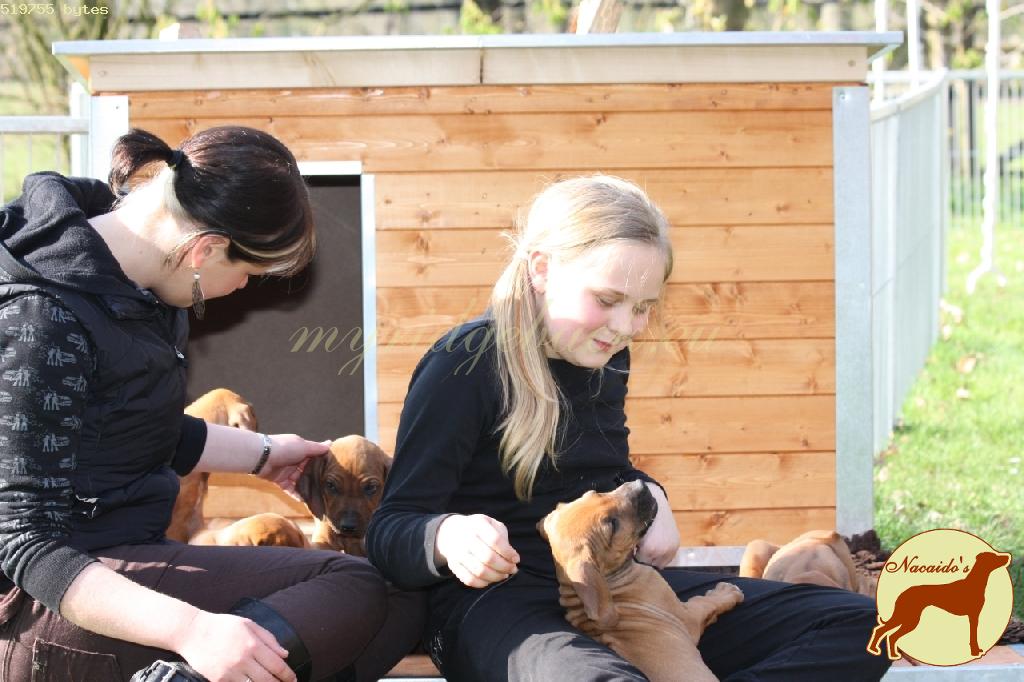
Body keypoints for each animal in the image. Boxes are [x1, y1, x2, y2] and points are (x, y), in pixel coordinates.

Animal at [539, 481, 744, 682]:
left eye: (593, 493)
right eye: (613, 524)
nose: (641, 485)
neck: (611, 580)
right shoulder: (686, 618)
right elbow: (703, 602)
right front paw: (726, 592)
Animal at [867, 551, 1011, 660]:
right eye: (994, 556)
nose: (1008, 557)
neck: (975, 584)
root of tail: (903, 593)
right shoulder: (973, 616)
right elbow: (973, 636)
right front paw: (975, 652)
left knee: (887, 633)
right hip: (909, 618)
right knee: (886, 633)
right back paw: (881, 651)